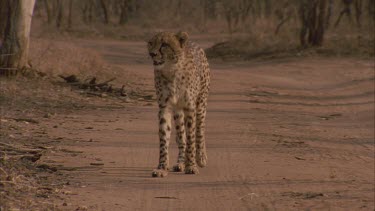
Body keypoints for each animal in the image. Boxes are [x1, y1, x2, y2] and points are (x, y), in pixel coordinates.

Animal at [148, 30, 212, 176]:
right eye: (151, 43)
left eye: (164, 44)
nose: (152, 54)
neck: (171, 69)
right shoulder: (165, 107)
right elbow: (164, 137)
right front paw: (162, 167)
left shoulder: (190, 107)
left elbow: (191, 138)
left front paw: (192, 165)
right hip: (178, 111)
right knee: (181, 137)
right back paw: (180, 163)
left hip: (201, 104)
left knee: (200, 130)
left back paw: (200, 157)